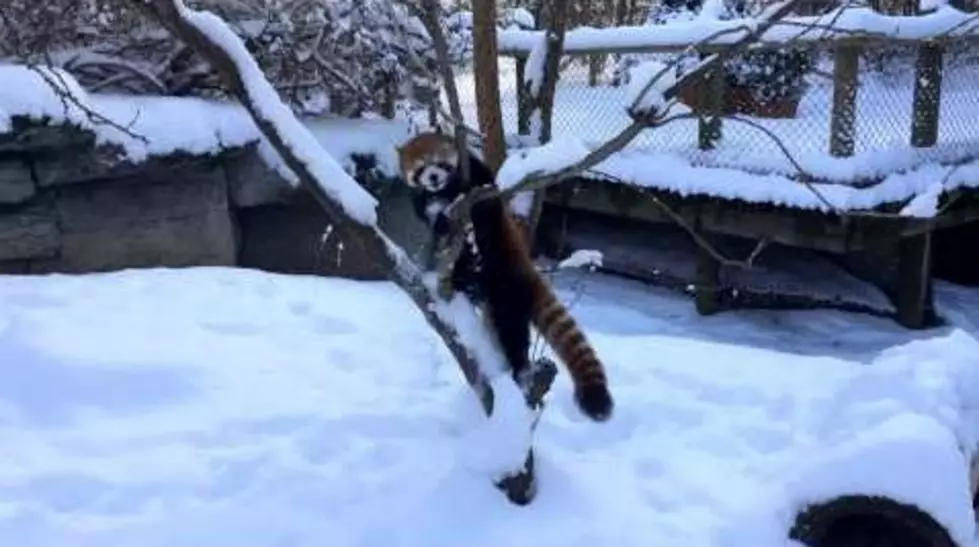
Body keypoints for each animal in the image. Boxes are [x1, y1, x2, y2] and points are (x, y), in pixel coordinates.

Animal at [396, 133, 612, 424]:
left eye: (440, 163)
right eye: (420, 168)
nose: (433, 177)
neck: (444, 193)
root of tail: (523, 267)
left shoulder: (478, 181)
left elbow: (484, 191)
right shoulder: (425, 202)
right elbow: (430, 216)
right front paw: (439, 221)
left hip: (506, 286)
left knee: (512, 331)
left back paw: (520, 367)